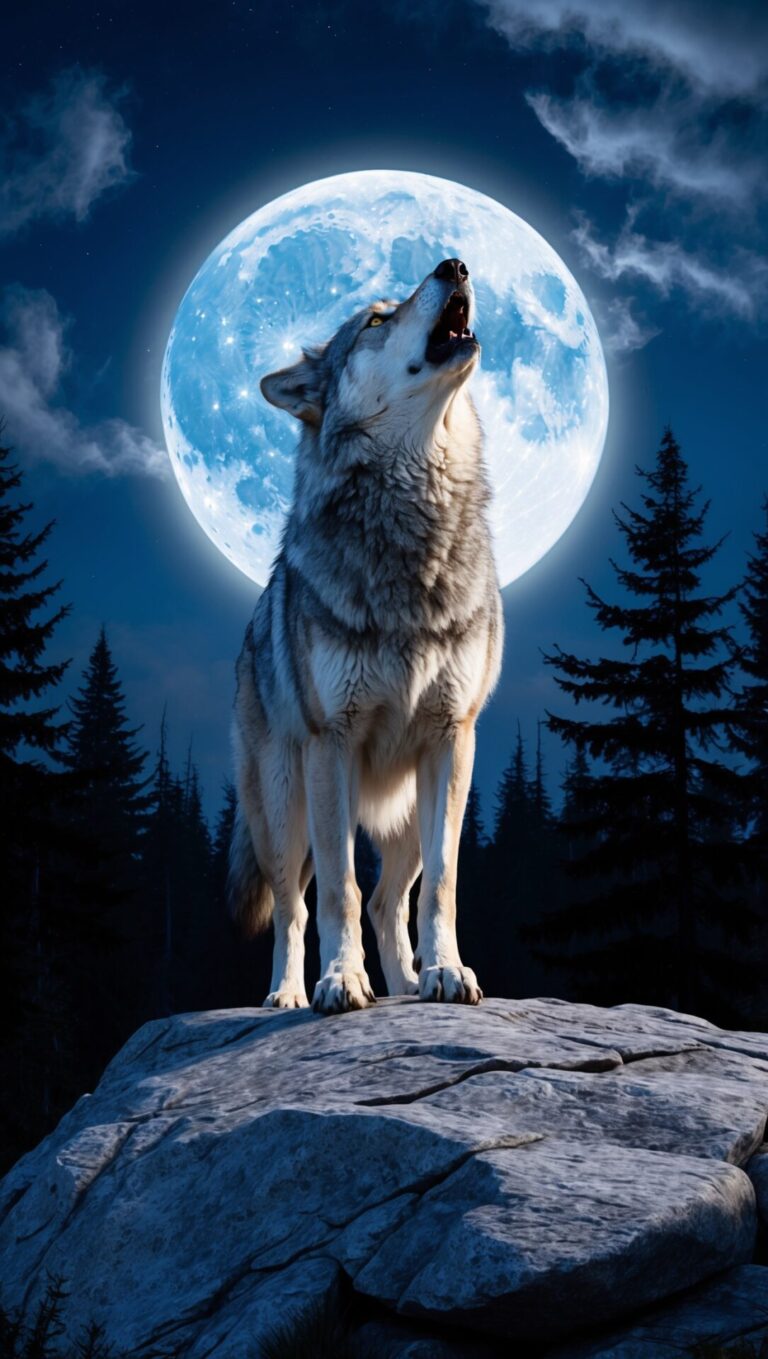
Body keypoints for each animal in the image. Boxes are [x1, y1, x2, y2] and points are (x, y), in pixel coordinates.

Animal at [229, 257, 504, 1015]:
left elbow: (442, 885)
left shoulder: (453, 741)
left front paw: (448, 973)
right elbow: (339, 892)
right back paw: (288, 993)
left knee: (392, 898)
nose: (455, 263)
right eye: (377, 319)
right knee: (294, 905)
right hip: (284, 809)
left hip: (413, 808)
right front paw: (341, 981)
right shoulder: (334, 744)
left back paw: (411, 985)